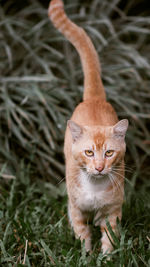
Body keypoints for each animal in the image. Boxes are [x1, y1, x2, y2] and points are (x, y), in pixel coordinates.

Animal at [48, 0, 128, 254]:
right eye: (89, 152)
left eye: (109, 153)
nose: (100, 167)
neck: (94, 188)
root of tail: (94, 98)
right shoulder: (77, 208)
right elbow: (82, 233)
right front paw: (86, 255)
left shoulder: (112, 211)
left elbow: (109, 237)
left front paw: (107, 257)